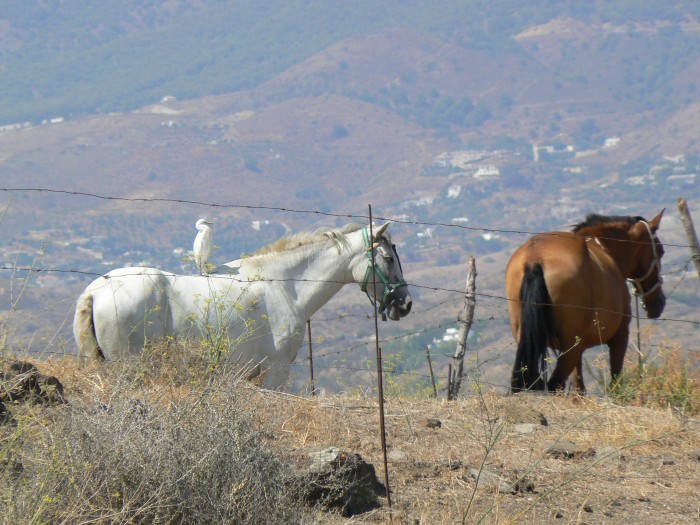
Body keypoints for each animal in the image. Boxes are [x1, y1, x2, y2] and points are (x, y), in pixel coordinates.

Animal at [506, 211, 664, 390]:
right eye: (660, 251)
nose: (659, 302)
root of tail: (535, 258)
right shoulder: (620, 336)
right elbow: (615, 382)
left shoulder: (579, 350)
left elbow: (579, 388)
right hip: (569, 349)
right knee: (555, 383)